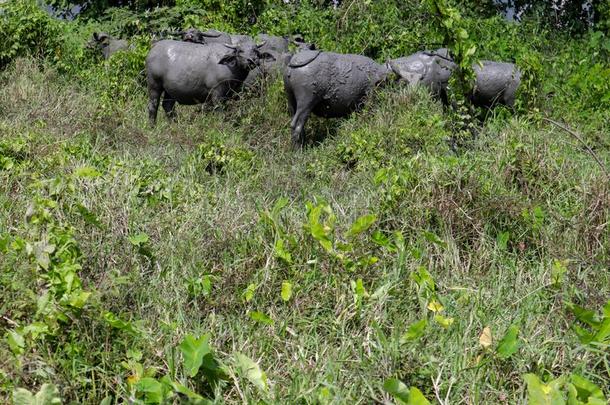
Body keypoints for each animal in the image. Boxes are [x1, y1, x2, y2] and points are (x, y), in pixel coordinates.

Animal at [145, 39, 274, 125]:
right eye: (240, 51)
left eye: (255, 50)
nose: (252, 60)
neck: (229, 66)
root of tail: (154, 47)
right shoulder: (217, 93)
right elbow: (219, 112)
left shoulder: (229, 94)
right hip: (154, 84)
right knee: (153, 105)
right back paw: (152, 126)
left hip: (170, 90)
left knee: (168, 106)